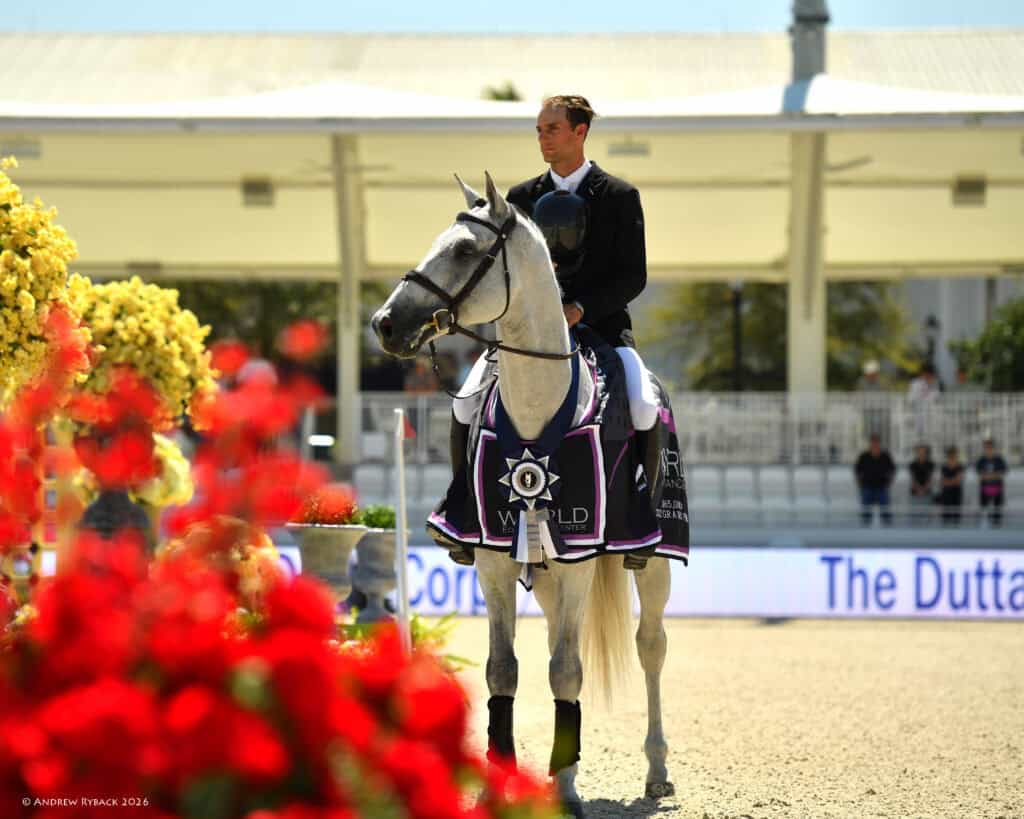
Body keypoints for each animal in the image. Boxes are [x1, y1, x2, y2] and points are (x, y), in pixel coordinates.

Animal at [371, 173, 675, 816]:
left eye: (465, 249)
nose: (385, 323)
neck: (538, 407)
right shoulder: (492, 558)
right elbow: (503, 670)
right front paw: (496, 784)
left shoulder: (581, 558)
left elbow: (566, 672)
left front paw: (567, 792)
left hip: (654, 561)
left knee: (650, 645)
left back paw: (657, 770)